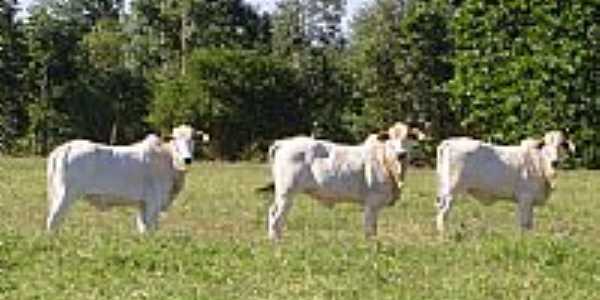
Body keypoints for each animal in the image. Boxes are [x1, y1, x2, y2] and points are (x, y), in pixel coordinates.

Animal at [47, 124, 197, 232]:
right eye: (175, 139)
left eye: (192, 139)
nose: (187, 159)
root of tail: (65, 147)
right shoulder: (153, 202)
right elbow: (150, 228)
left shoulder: (142, 204)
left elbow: (142, 228)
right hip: (66, 194)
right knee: (53, 220)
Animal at [264, 122, 424, 239]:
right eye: (390, 138)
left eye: (409, 137)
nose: (401, 154)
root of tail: (284, 142)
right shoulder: (372, 203)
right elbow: (369, 230)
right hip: (286, 192)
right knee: (276, 216)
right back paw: (276, 243)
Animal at [438, 131, 576, 232]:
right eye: (546, 145)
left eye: (561, 144)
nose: (555, 162)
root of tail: (449, 142)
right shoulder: (525, 198)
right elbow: (524, 223)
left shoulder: (529, 201)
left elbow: (529, 224)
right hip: (451, 191)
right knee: (443, 213)